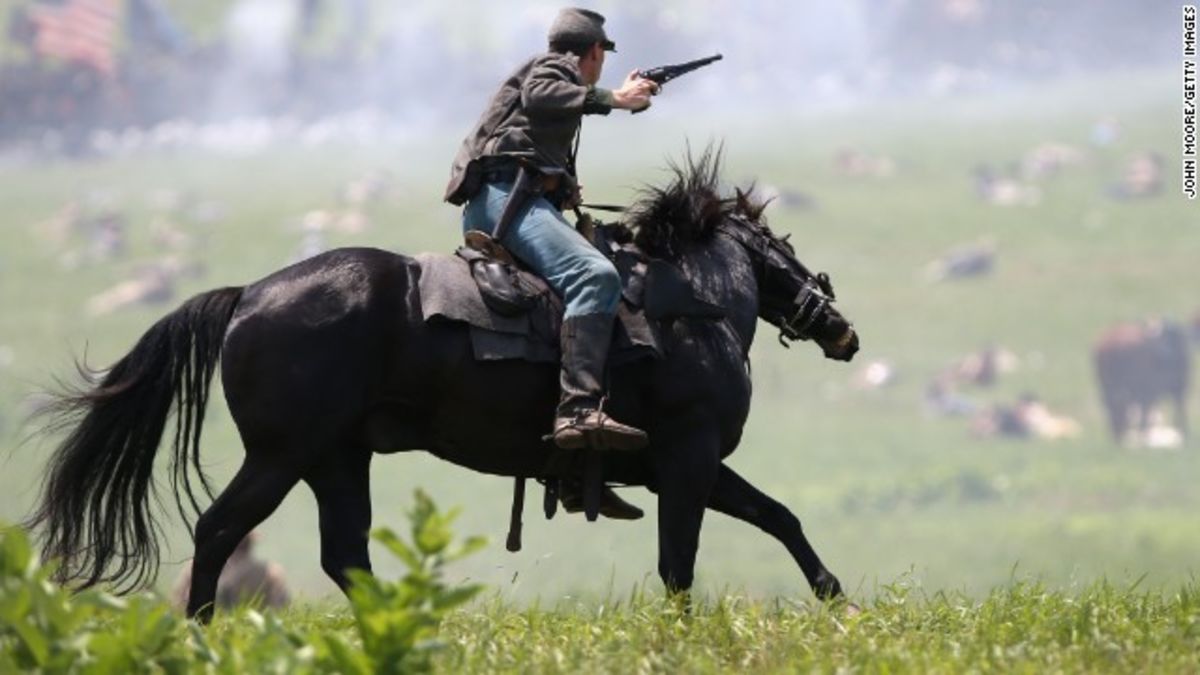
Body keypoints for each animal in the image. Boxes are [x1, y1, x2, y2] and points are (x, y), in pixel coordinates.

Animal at [23, 151, 859, 619]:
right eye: (782, 244)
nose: (840, 327)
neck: (688, 305)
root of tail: (249, 295)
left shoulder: (678, 466)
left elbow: (777, 516)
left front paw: (835, 595)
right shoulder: (688, 459)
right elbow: (680, 563)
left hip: (335, 459)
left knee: (345, 555)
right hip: (281, 456)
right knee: (219, 531)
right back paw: (200, 629)